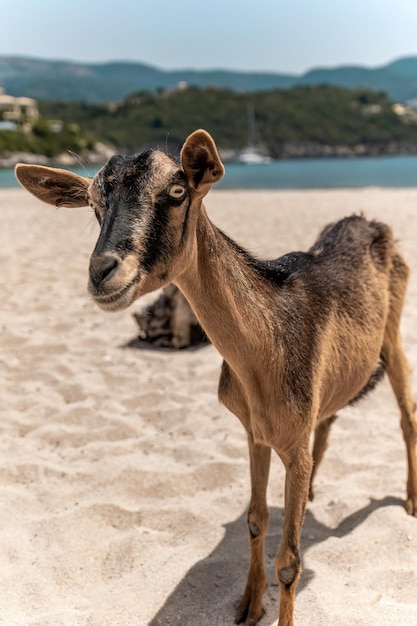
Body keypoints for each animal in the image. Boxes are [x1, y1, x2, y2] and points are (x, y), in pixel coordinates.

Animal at [14, 128, 414, 624]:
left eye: (177, 191)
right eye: (92, 203)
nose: (102, 273)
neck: (264, 354)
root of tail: (368, 221)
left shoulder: (292, 446)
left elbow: (290, 562)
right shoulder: (256, 432)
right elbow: (256, 521)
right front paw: (247, 604)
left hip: (392, 334)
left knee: (406, 413)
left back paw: (410, 500)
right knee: (332, 416)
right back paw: (314, 493)